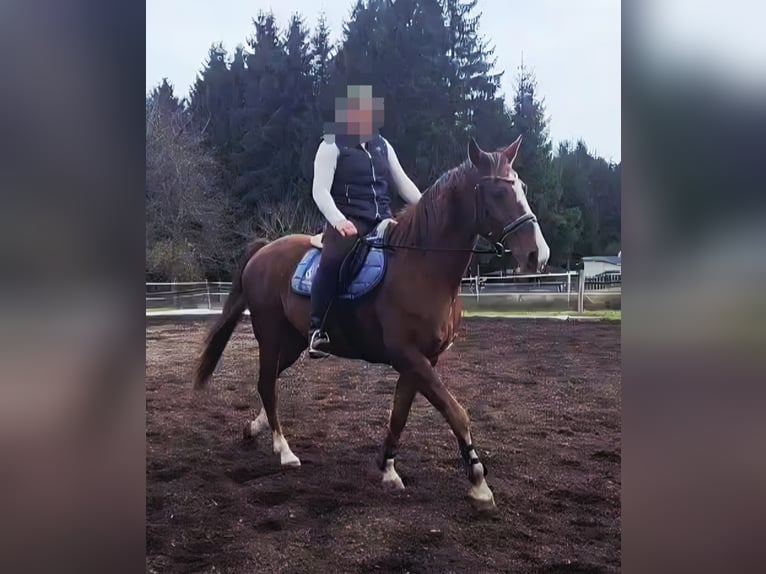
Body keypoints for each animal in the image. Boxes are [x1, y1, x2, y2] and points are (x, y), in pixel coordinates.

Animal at [193, 135, 550, 511]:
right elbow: (456, 412)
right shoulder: (409, 356)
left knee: (269, 382)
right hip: (271, 336)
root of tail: (263, 251)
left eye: (521, 188)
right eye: (497, 192)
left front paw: (388, 468)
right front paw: (479, 482)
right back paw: (284, 450)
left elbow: (400, 413)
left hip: (291, 342)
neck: (422, 266)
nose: (537, 255)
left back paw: (256, 430)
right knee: (267, 384)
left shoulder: (421, 360)